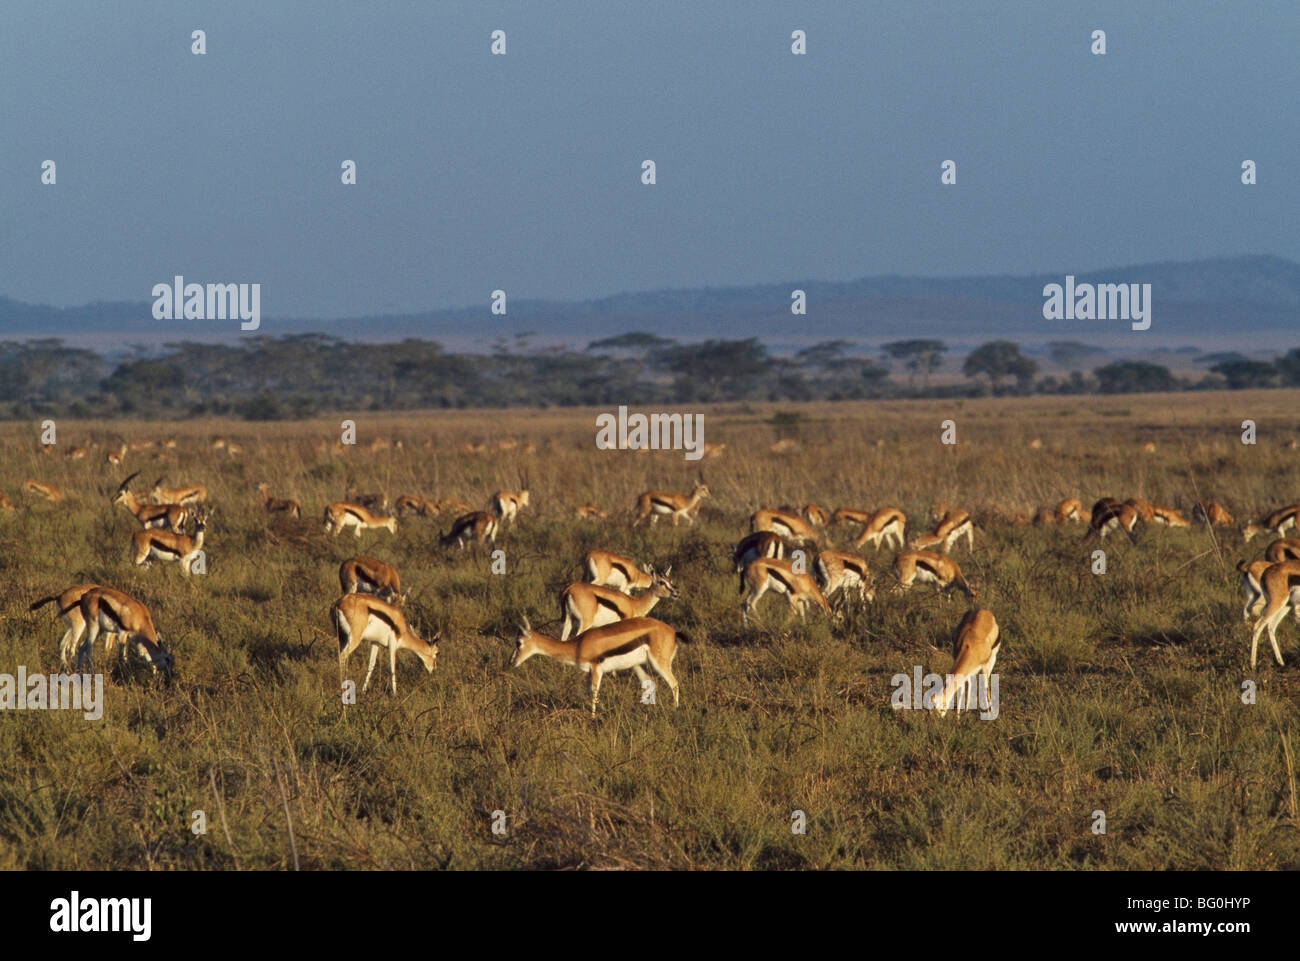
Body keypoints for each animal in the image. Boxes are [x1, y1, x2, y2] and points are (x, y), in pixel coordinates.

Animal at [510, 615, 682, 717]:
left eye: (518, 643)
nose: (512, 661)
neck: (577, 645)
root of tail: (673, 632)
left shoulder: (596, 668)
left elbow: (594, 694)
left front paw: (592, 718)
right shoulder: (589, 672)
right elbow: (588, 693)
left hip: (659, 664)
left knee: (674, 683)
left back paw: (674, 710)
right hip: (641, 666)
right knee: (650, 684)